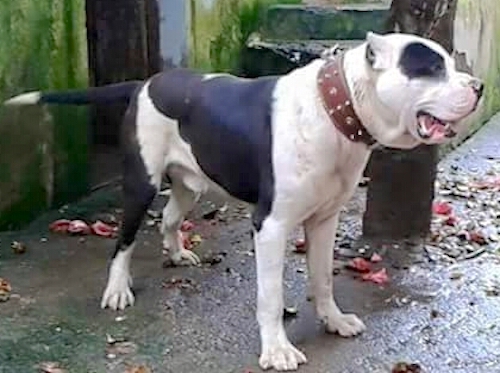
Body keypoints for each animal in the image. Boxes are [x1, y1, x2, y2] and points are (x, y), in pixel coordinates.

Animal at [3, 33, 480, 370]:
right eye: (431, 68)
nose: (478, 86)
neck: (335, 107)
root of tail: (147, 82)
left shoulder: (324, 220)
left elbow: (323, 279)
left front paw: (333, 320)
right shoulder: (271, 226)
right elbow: (270, 295)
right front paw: (277, 350)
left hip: (190, 182)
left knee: (170, 217)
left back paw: (177, 253)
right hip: (140, 183)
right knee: (124, 239)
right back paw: (118, 289)